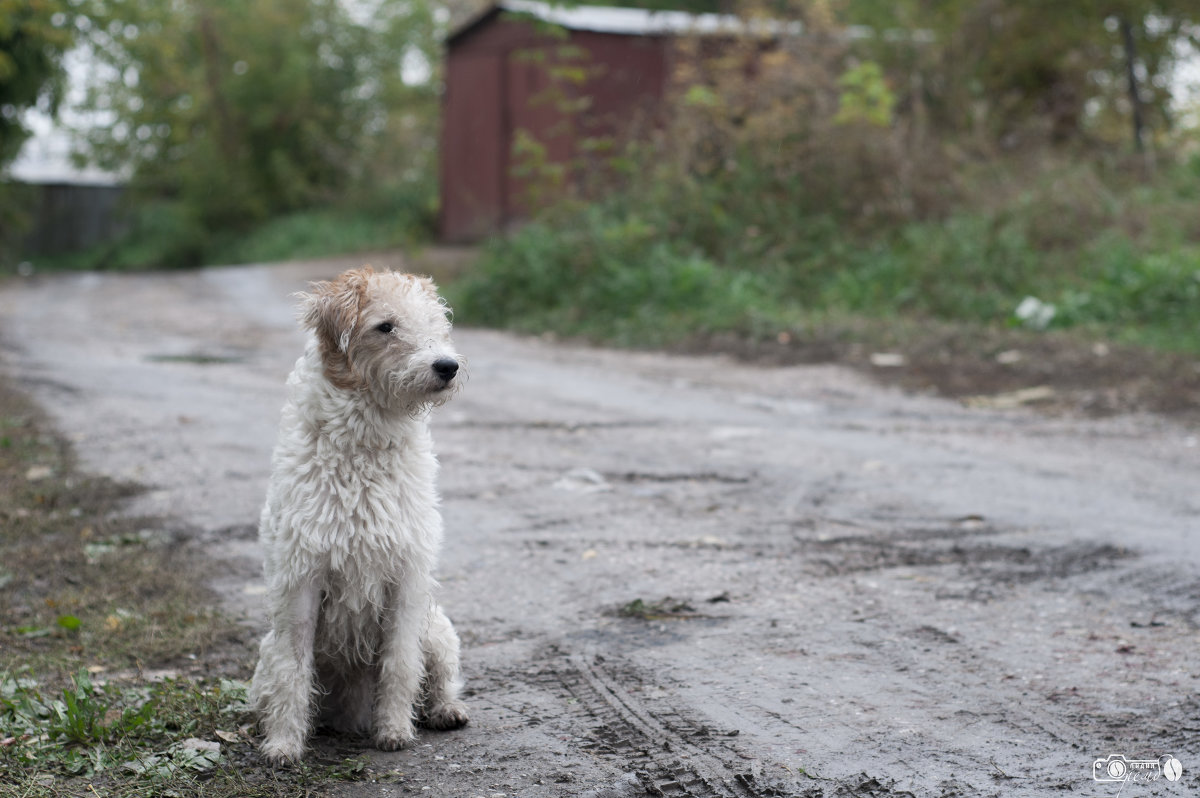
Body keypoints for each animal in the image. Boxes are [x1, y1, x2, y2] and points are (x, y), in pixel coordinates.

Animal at [250, 264, 470, 763]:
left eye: (435, 321)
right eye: (385, 326)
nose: (447, 366)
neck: (364, 452)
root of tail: (349, 719)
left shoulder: (406, 579)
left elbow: (400, 665)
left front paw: (394, 731)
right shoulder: (301, 579)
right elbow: (293, 670)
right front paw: (284, 744)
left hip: (437, 628)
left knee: (442, 678)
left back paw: (445, 711)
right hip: (265, 653)